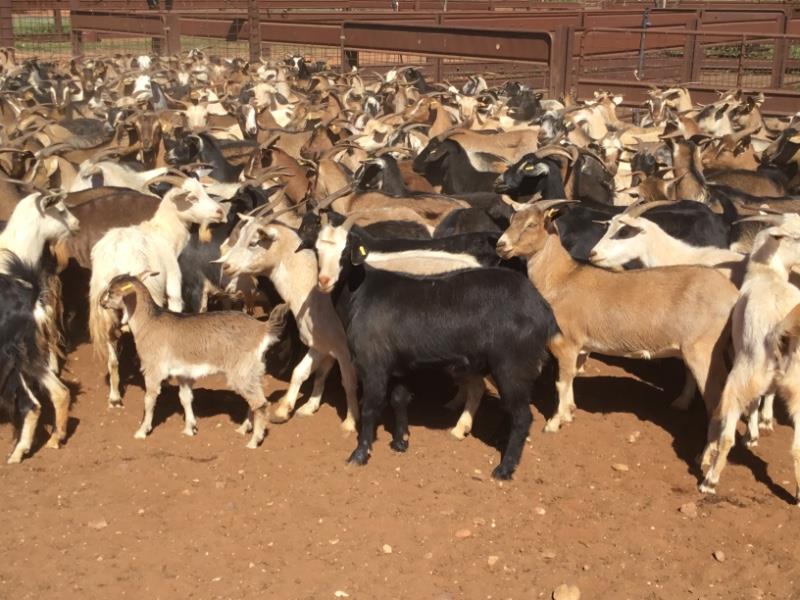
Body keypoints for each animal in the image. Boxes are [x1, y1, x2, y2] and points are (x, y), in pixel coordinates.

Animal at [98, 273, 287, 448]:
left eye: (111, 292)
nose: (101, 303)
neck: (148, 322)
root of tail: (262, 328)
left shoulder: (153, 369)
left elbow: (149, 399)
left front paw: (142, 431)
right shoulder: (183, 373)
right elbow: (185, 398)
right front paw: (190, 429)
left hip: (241, 370)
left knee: (261, 403)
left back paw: (254, 441)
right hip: (252, 371)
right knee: (254, 400)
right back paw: (243, 429)